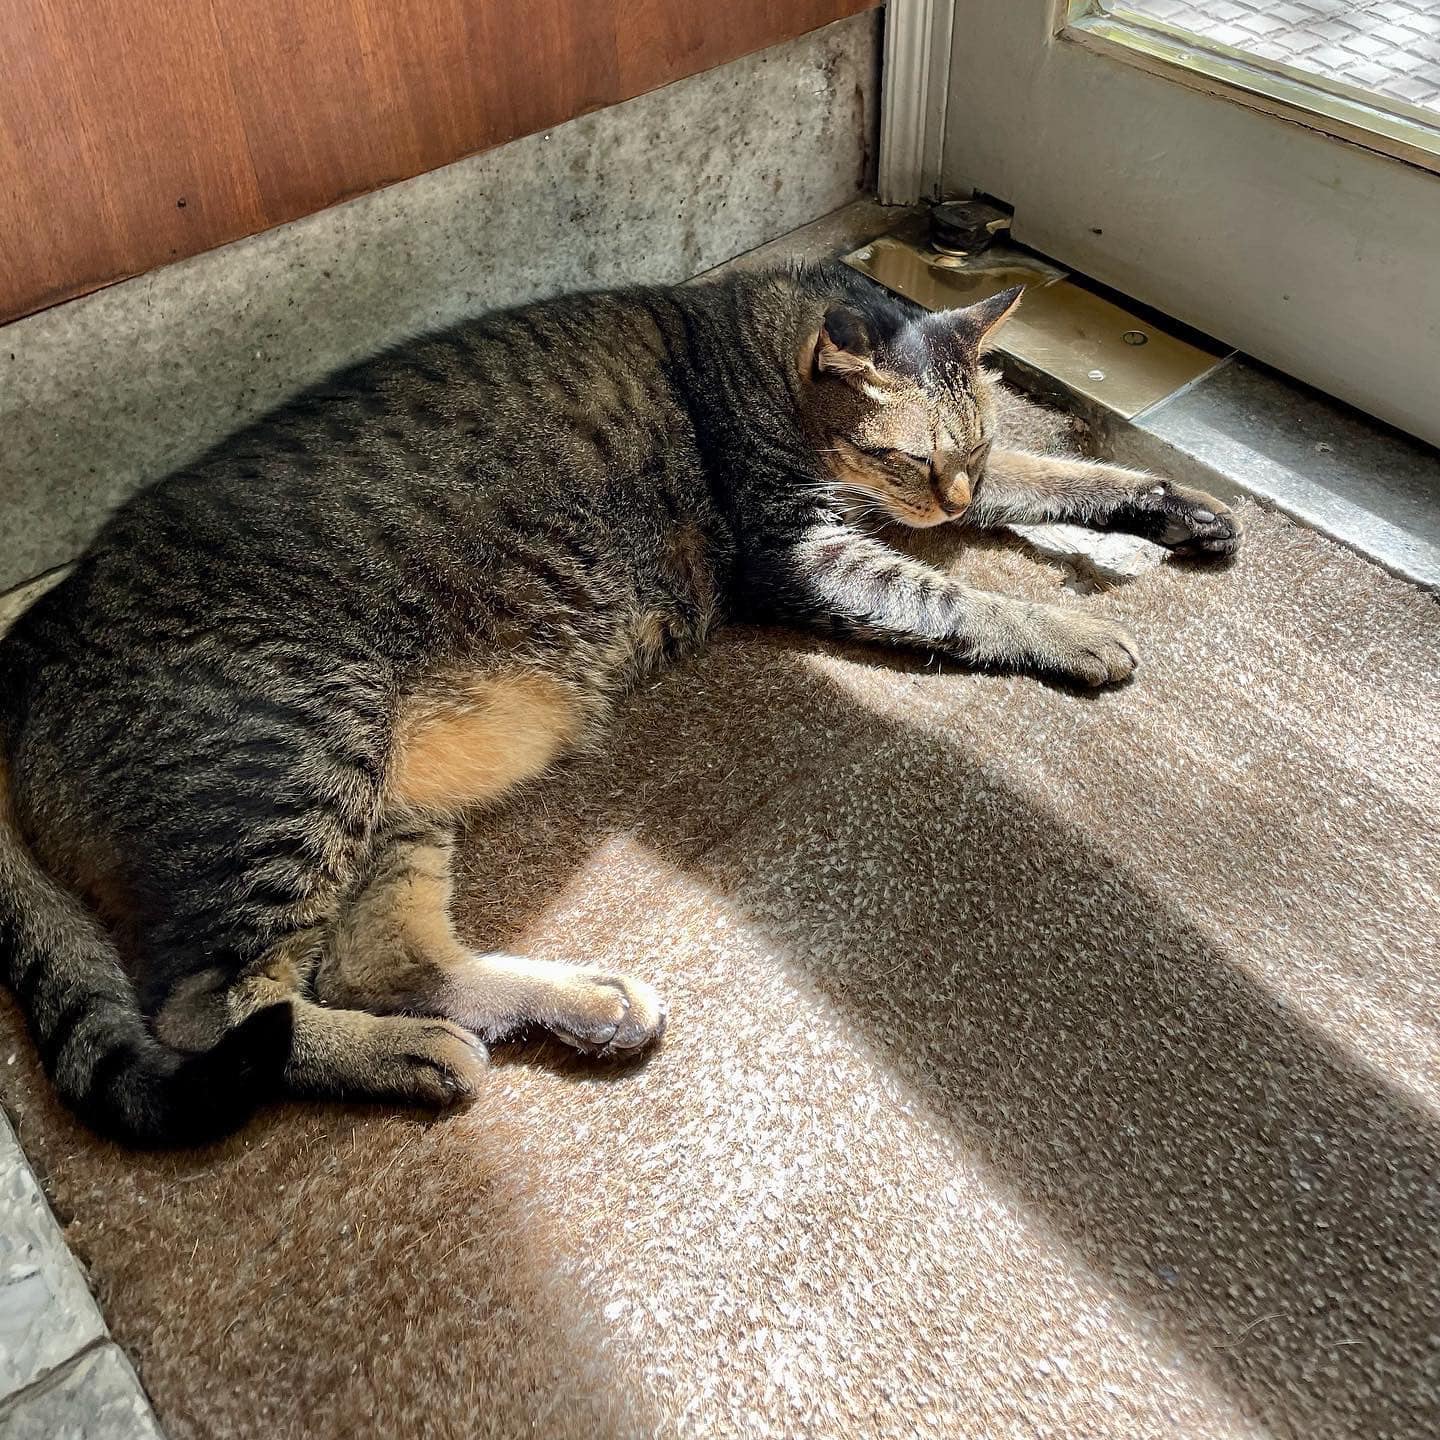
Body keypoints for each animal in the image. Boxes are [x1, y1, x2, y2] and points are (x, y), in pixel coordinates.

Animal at [0, 261, 1240, 1146]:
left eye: (968, 445)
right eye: (910, 456)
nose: (946, 496)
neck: (747, 345)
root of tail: (26, 637)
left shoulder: (938, 499)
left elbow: (1052, 475)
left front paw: (1168, 506)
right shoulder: (810, 558)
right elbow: (960, 595)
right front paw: (1072, 628)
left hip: (388, 804)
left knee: (377, 963)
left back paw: (576, 1005)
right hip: (303, 759)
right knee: (214, 1010)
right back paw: (410, 1055)